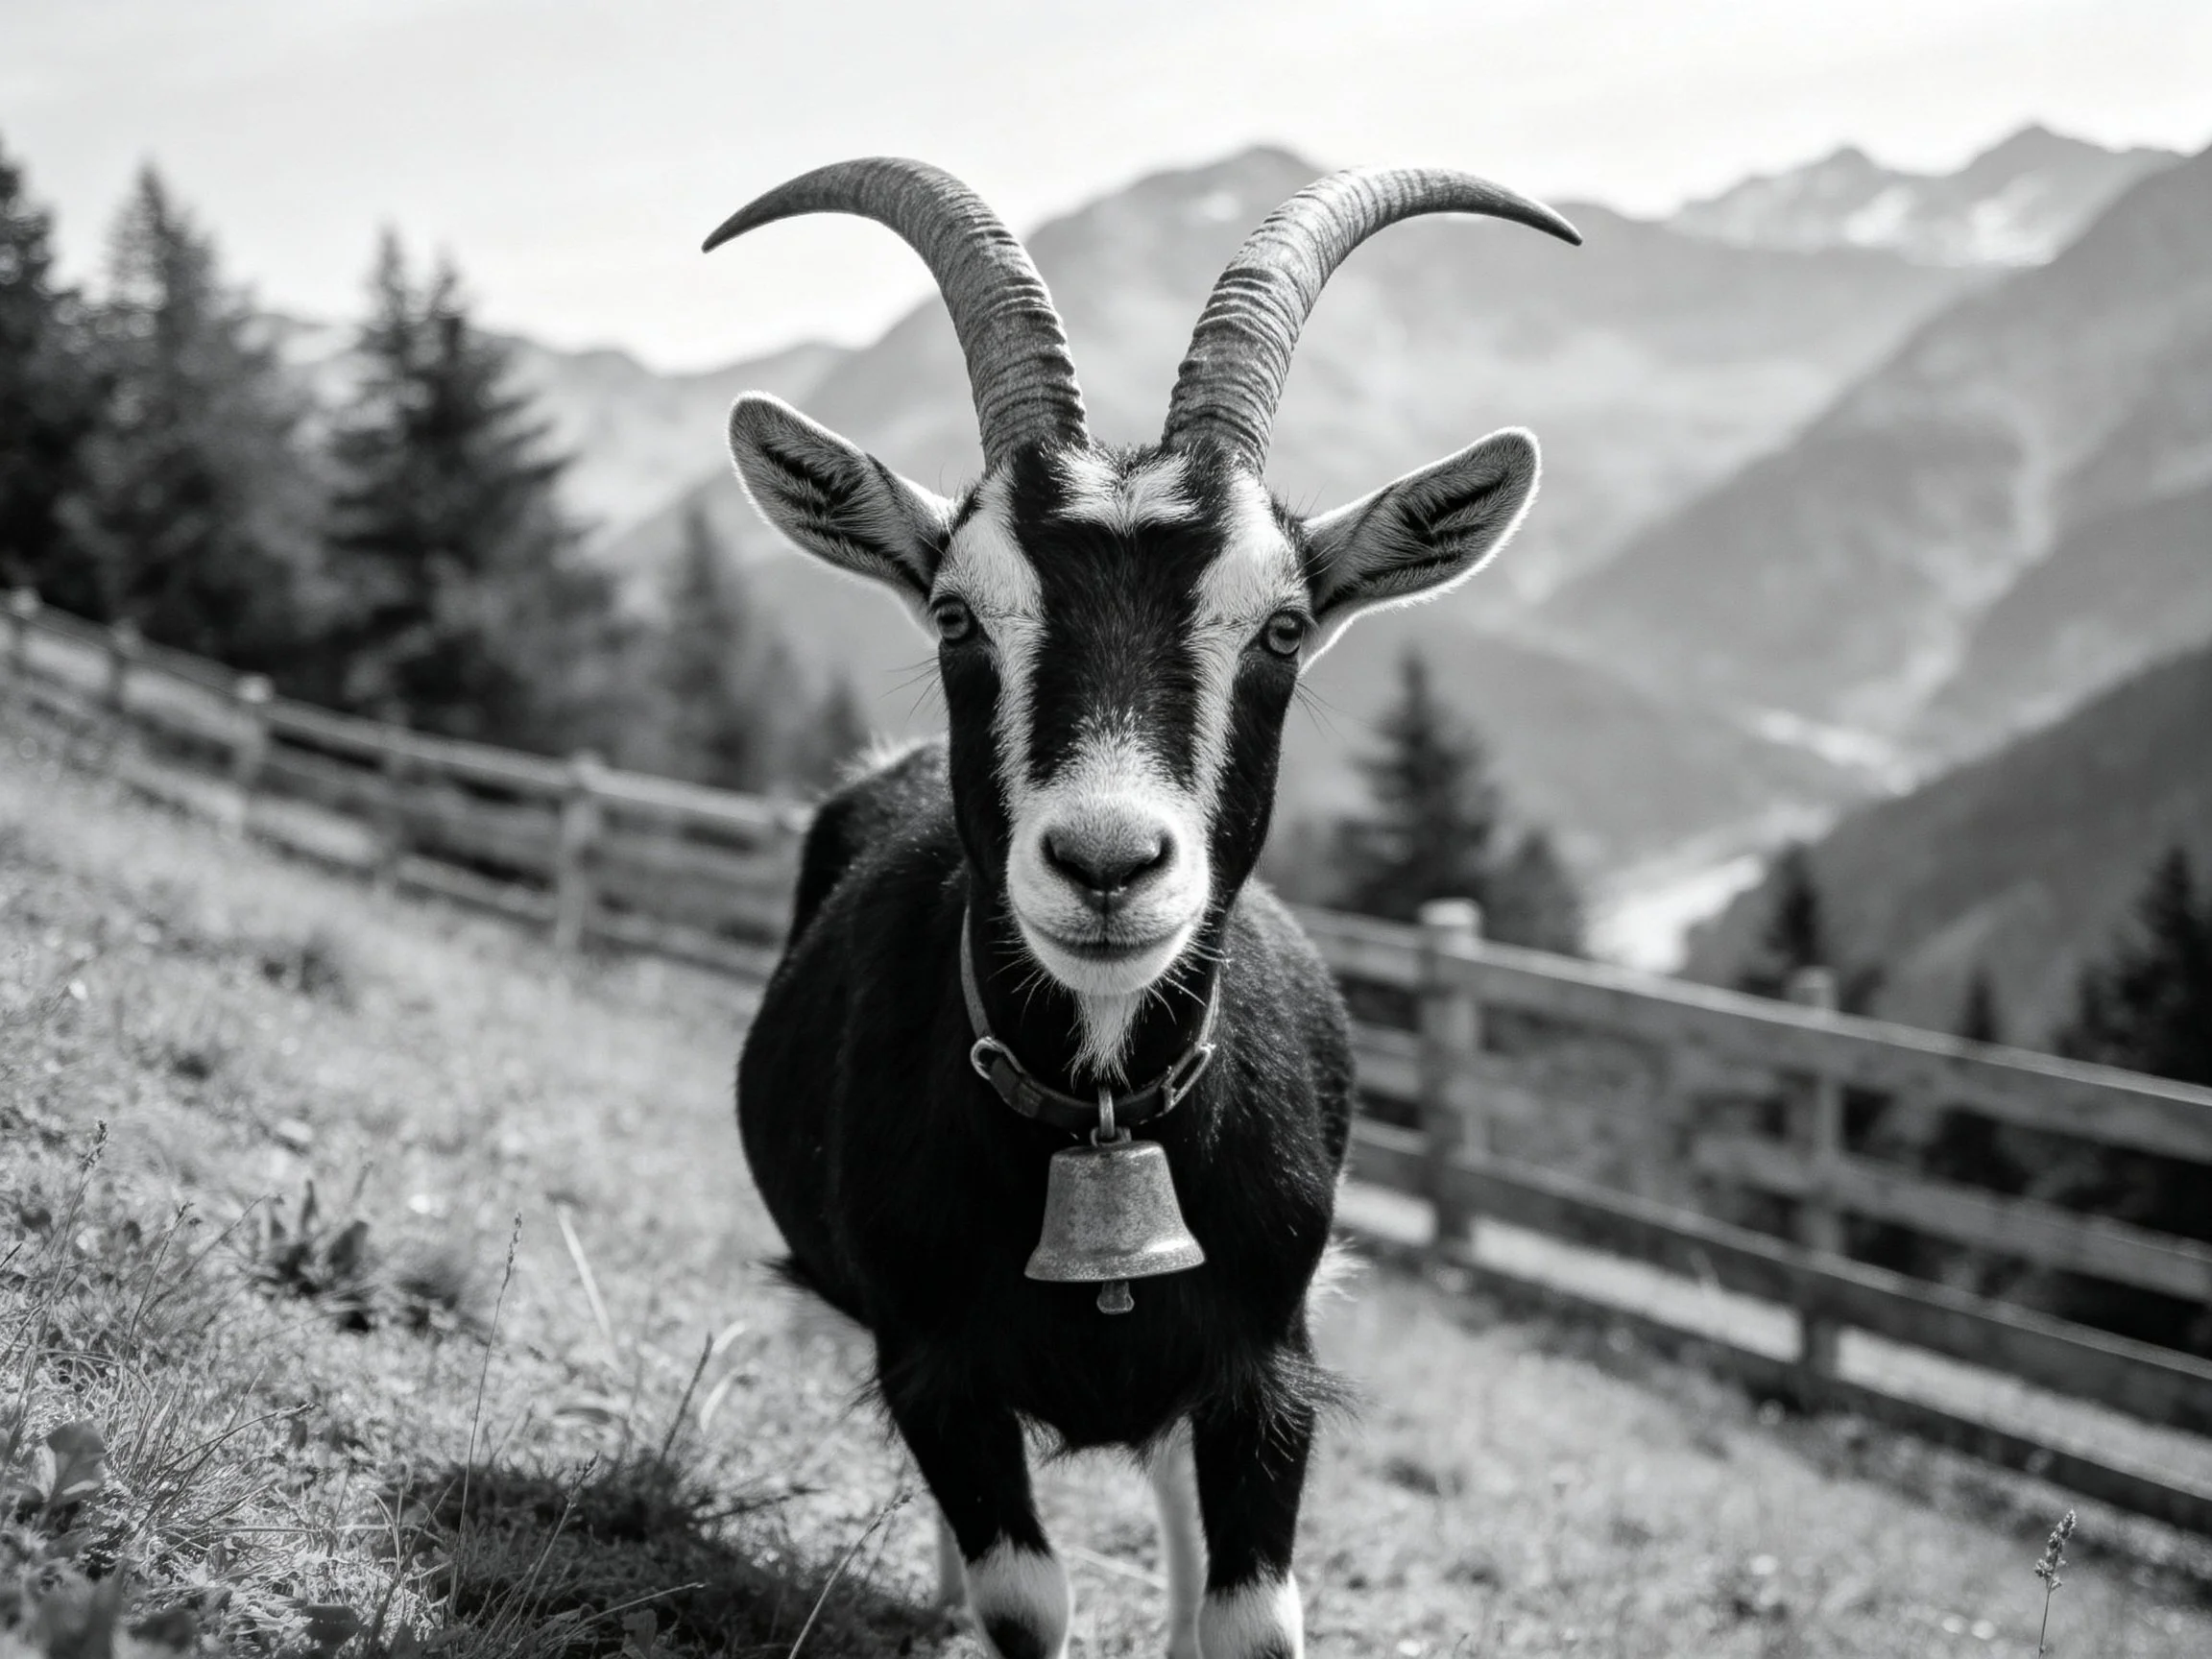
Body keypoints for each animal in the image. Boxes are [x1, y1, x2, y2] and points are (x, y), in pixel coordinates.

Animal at [711, 158, 1577, 1659]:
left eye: (1283, 628)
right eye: (956, 613)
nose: (1108, 863)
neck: (1106, 1107)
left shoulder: (1269, 1360)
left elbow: (1249, 1617)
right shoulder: (930, 1364)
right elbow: (1024, 1594)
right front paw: (973, 1599)